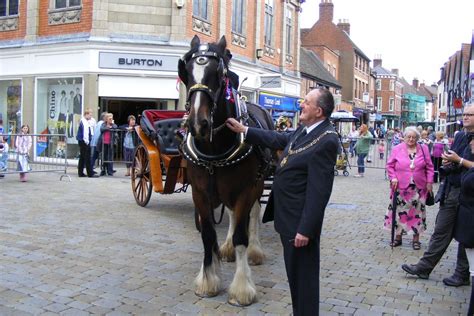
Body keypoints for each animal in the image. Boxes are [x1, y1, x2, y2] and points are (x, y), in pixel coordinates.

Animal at [179, 35, 274, 306]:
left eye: (219, 73)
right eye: (186, 72)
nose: (198, 124)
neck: (215, 149)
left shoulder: (246, 189)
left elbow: (243, 233)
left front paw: (241, 289)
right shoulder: (200, 193)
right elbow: (208, 235)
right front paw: (208, 281)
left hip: (258, 184)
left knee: (253, 214)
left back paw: (254, 251)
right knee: (232, 215)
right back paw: (228, 247)